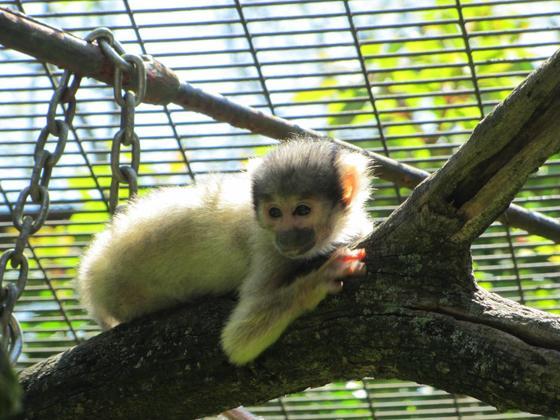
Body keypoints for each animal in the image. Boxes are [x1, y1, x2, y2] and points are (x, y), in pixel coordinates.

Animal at [74, 138, 372, 364]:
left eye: (302, 210)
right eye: (274, 213)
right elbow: (238, 341)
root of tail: (91, 284)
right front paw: (320, 278)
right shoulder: (268, 251)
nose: (286, 238)